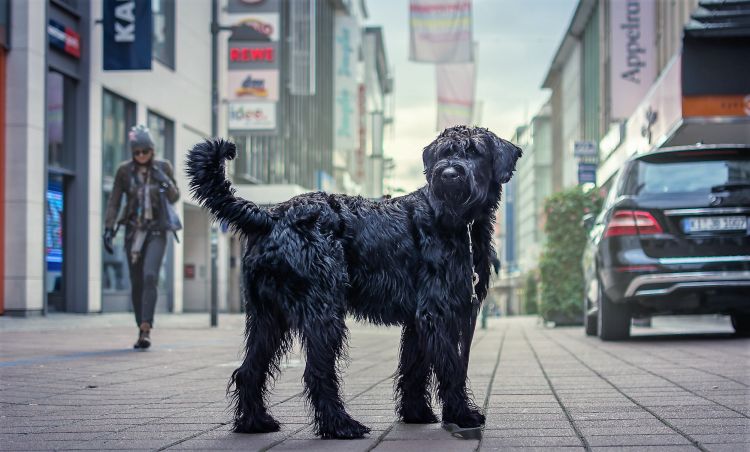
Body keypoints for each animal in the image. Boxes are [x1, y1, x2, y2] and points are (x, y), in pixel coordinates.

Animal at [187, 123, 524, 438]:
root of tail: (270, 217)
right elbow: (452, 366)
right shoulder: (437, 311)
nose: (449, 173)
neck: (458, 222)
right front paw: (463, 414)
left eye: (475, 151)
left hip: (268, 317)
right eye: (443, 152)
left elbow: (415, 367)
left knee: (250, 370)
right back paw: (340, 425)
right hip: (323, 313)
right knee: (317, 372)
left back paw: (255, 422)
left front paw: (416, 413)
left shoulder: (420, 319)